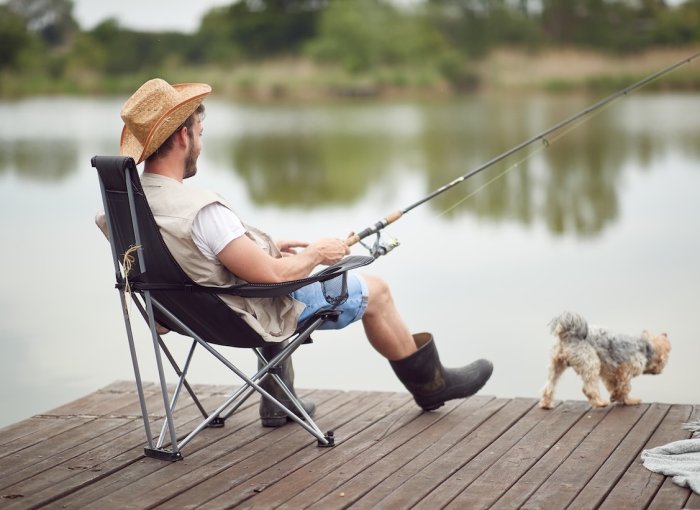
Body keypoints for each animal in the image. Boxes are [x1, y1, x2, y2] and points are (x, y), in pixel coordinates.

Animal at [540, 310, 668, 410]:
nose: (660, 371)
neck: (645, 347)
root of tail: (569, 334)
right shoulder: (626, 370)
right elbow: (625, 387)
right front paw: (623, 398)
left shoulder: (609, 373)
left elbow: (615, 386)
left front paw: (620, 398)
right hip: (591, 362)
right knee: (588, 388)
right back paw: (600, 403)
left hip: (557, 365)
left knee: (549, 386)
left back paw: (546, 404)